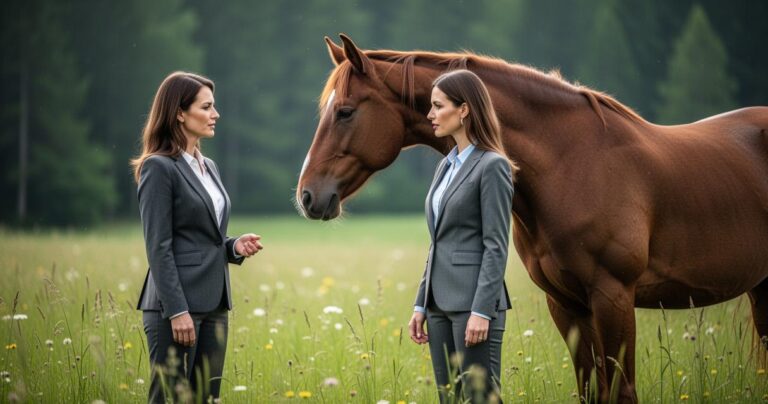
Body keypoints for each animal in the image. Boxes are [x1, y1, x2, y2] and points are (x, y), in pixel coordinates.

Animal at [296, 34, 768, 403]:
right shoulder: (567, 304)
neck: (573, 163)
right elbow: (590, 390)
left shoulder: (613, 298)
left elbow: (621, 392)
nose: (307, 196)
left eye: (345, 111)